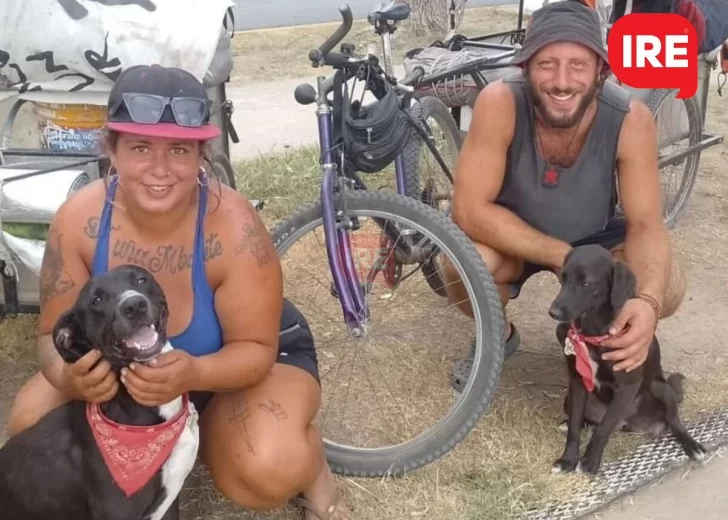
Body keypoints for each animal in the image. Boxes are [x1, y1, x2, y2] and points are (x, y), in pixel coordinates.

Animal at [544, 246, 704, 478]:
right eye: (563, 278)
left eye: (586, 283)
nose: (553, 312)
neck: (594, 332)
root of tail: (627, 422)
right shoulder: (577, 382)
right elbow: (574, 426)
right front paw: (567, 459)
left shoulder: (627, 386)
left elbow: (603, 429)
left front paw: (590, 462)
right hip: (570, 397)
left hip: (660, 388)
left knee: (674, 422)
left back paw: (692, 445)